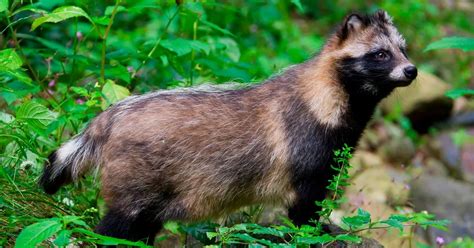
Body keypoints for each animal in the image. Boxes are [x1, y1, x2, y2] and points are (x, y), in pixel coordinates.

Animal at [40, 10, 418, 244]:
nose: (411, 70)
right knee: (115, 227)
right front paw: (319, 233)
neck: (326, 96)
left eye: (403, 49)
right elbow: (304, 210)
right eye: (380, 54)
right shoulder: (306, 152)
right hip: (136, 180)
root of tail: (110, 117)